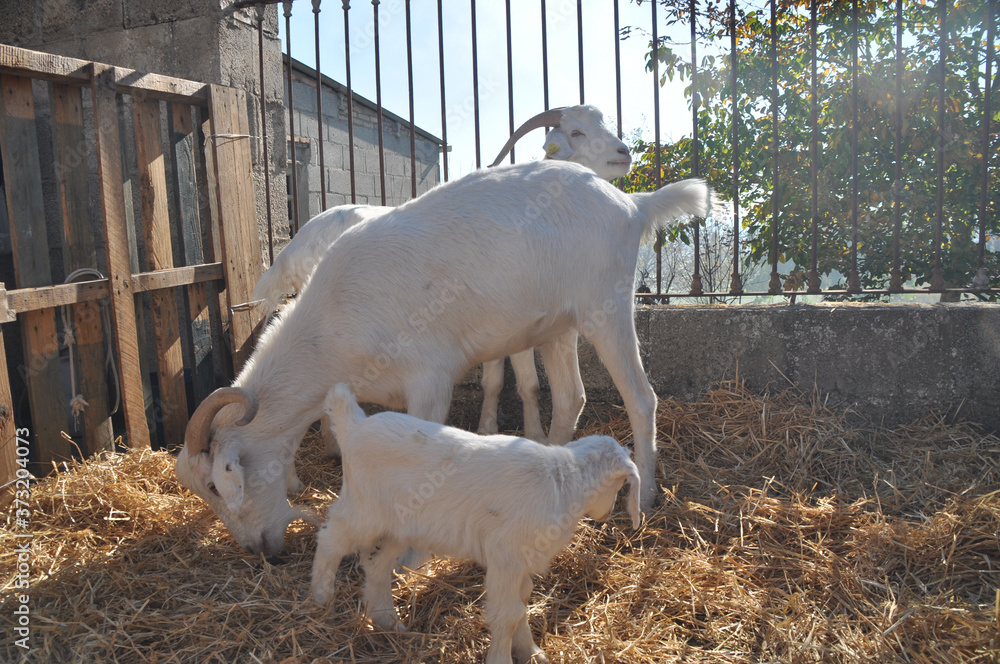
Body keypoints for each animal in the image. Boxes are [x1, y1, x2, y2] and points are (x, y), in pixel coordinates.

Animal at [174, 160, 712, 556]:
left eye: (218, 486)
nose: (259, 550)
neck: (331, 322)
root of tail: (634, 204)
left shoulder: (429, 378)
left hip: (606, 307)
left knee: (641, 399)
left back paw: (646, 497)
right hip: (558, 325)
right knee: (570, 398)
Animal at [250, 105, 628, 446]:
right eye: (577, 132)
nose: (623, 153)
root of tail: (296, 244)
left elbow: (494, 379)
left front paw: (488, 426)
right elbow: (528, 383)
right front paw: (534, 435)